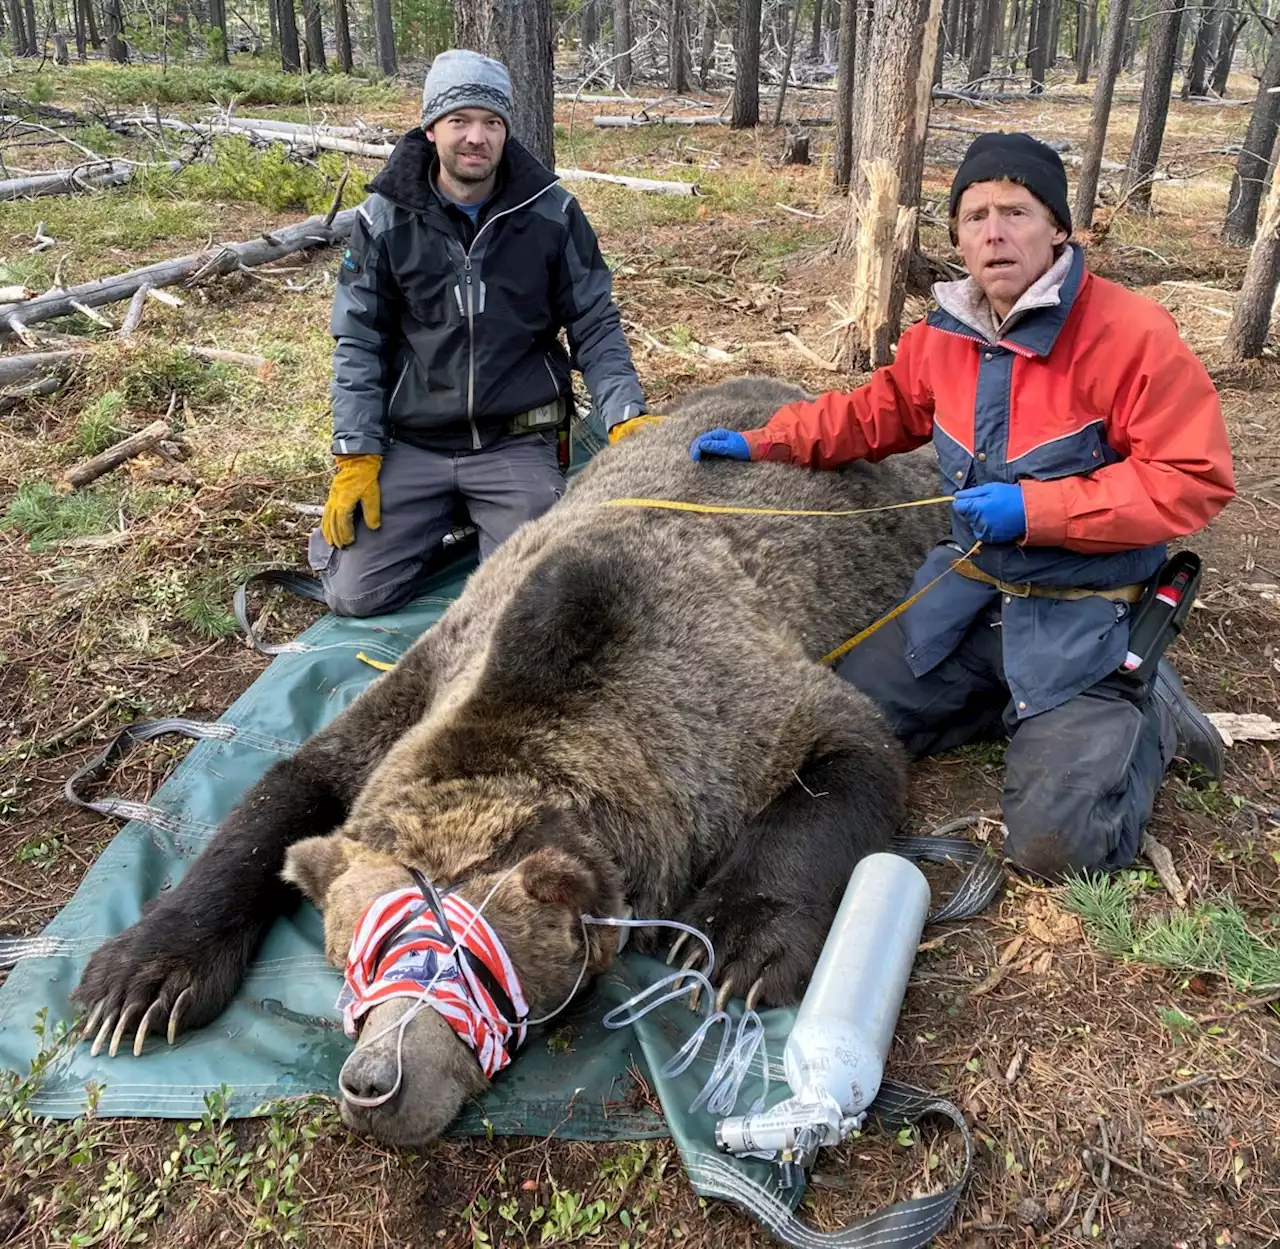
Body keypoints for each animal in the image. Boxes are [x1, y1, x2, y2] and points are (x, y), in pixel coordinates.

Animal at [74, 376, 947, 1146]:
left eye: (477, 967)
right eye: (365, 954)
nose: (377, 1080)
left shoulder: (723, 709)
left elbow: (847, 744)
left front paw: (735, 942)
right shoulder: (427, 680)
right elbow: (288, 790)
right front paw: (139, 982)